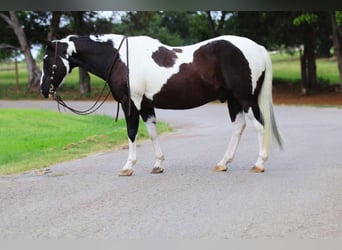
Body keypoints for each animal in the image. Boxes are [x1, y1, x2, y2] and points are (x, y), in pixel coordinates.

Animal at [40, 33, 284, 176]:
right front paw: (158, 165)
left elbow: (131, 133)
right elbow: (152, 133)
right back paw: (223, 163)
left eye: (47, 61)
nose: (43, 90)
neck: (121, 58)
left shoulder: (131, 103)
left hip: (244, 99)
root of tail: (257, 48)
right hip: (234, 100)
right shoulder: (147, 106)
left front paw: (128, 166)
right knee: (239, 127)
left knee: (259, 126)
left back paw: (259, 164)